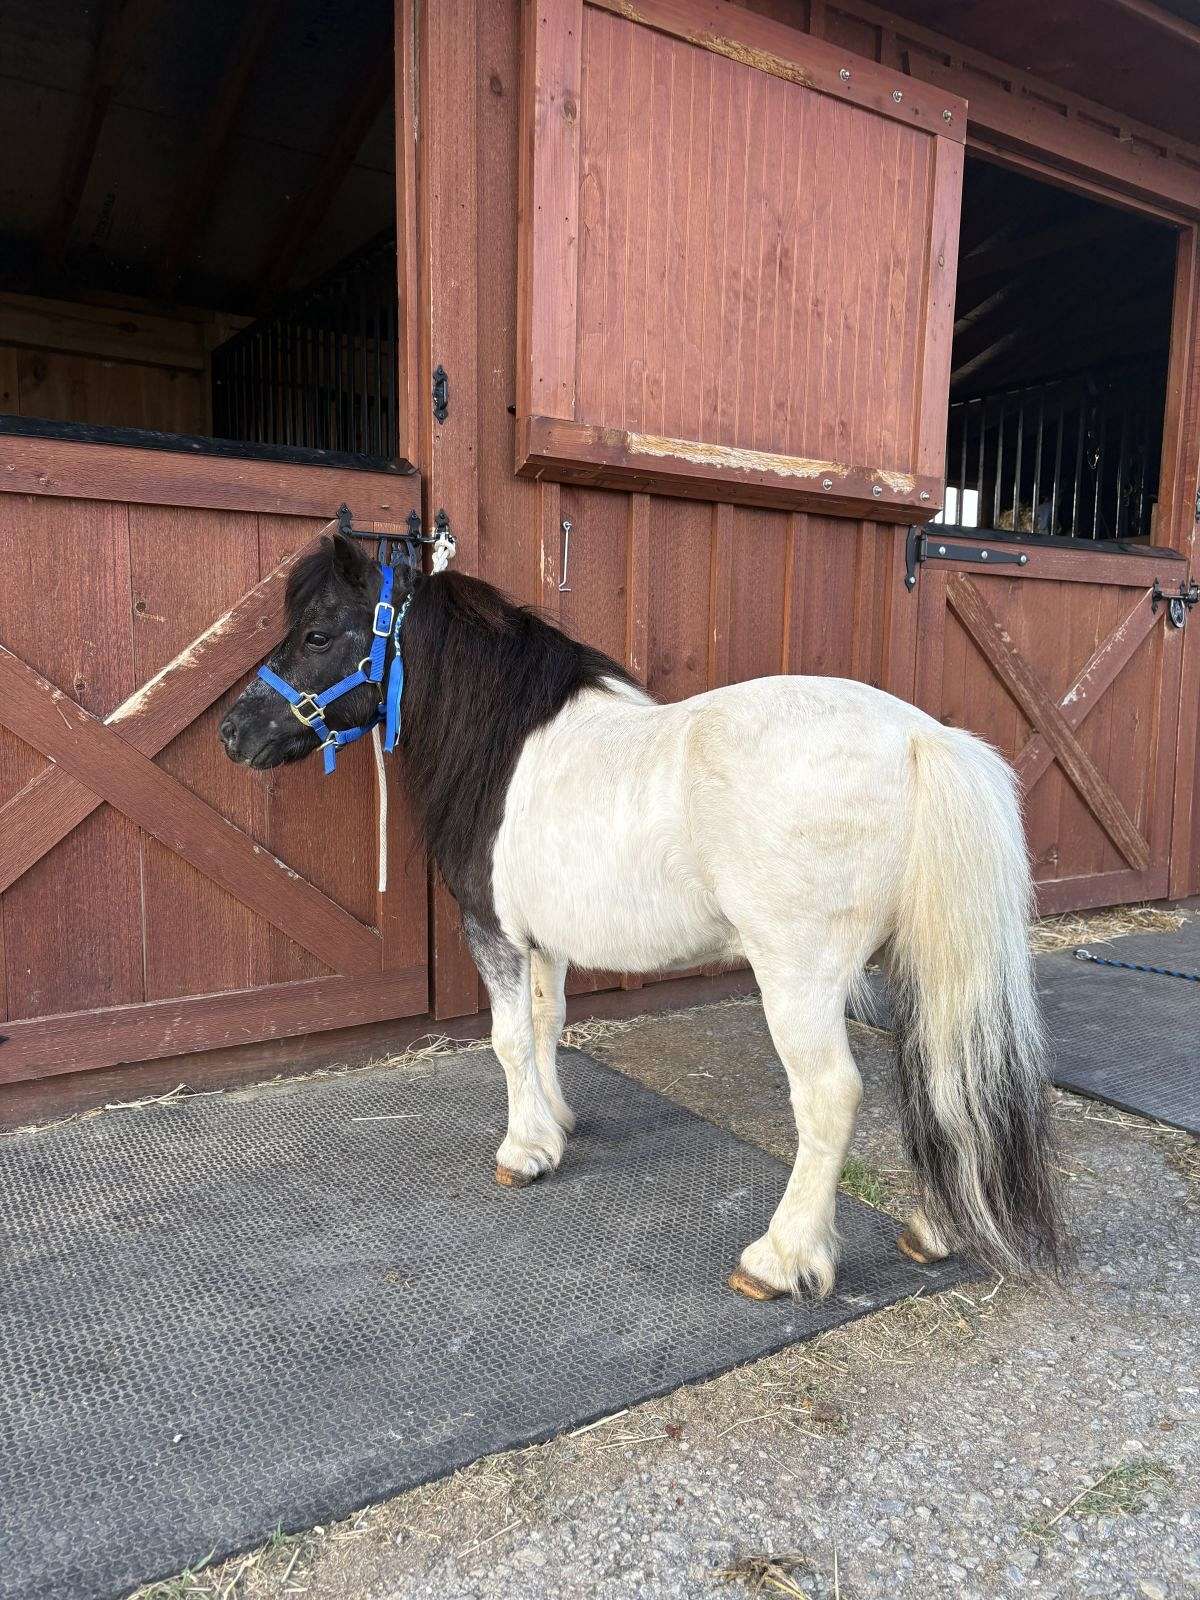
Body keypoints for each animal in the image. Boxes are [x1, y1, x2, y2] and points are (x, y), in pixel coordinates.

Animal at [219, 530, 1066, 1301]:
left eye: (318, 633)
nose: (234, 731)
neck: (506, 744)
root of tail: (923, 737)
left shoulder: (493, 930)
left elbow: (507, 1039)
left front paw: (523, 1152)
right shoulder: (545, 940)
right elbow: (546, 1022)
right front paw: (555, 1125)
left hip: (799, 976)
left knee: (831, 1096)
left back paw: (779, 1259)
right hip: (922, 963)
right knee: (947, 1079)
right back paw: (935, 1230)